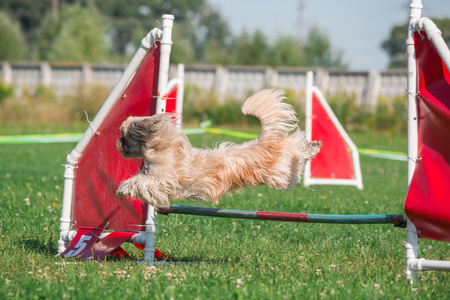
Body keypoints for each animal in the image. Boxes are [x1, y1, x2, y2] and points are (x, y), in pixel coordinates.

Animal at [116, 89, 320, 206]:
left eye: (124, 135)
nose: (118, 142)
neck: (160, 147)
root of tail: (263, 142)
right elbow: (139, 178)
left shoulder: (162, 180)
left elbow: (142, 183)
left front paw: (123, 189)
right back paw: (312, 145)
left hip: (279, 175)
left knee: (293, 155)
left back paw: (311, 148)